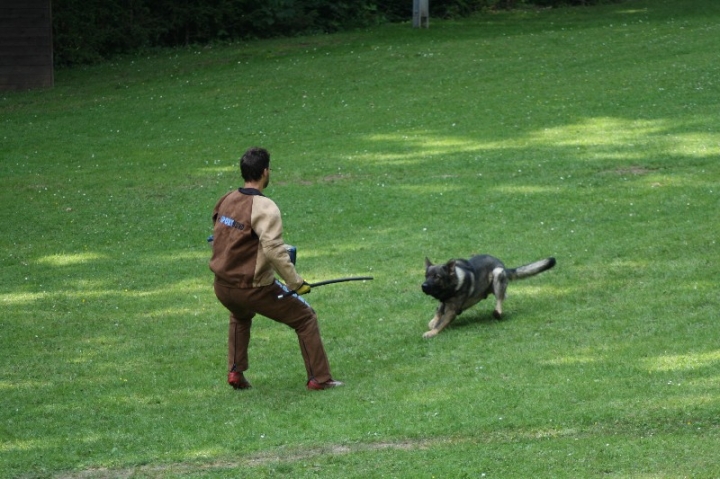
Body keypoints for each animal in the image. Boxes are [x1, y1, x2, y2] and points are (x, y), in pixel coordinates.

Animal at [420, 253, 556, 340]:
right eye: (426, 276)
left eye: (437, 277)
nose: (423, 286)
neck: (455, 281)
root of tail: (504, 267)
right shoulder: (443, 302)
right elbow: (438, 311)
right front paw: (433, 322)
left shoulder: (451, 310)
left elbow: (441, 323)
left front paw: (432, 332)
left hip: (497, 274)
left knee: (500, 299)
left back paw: (497, 313)